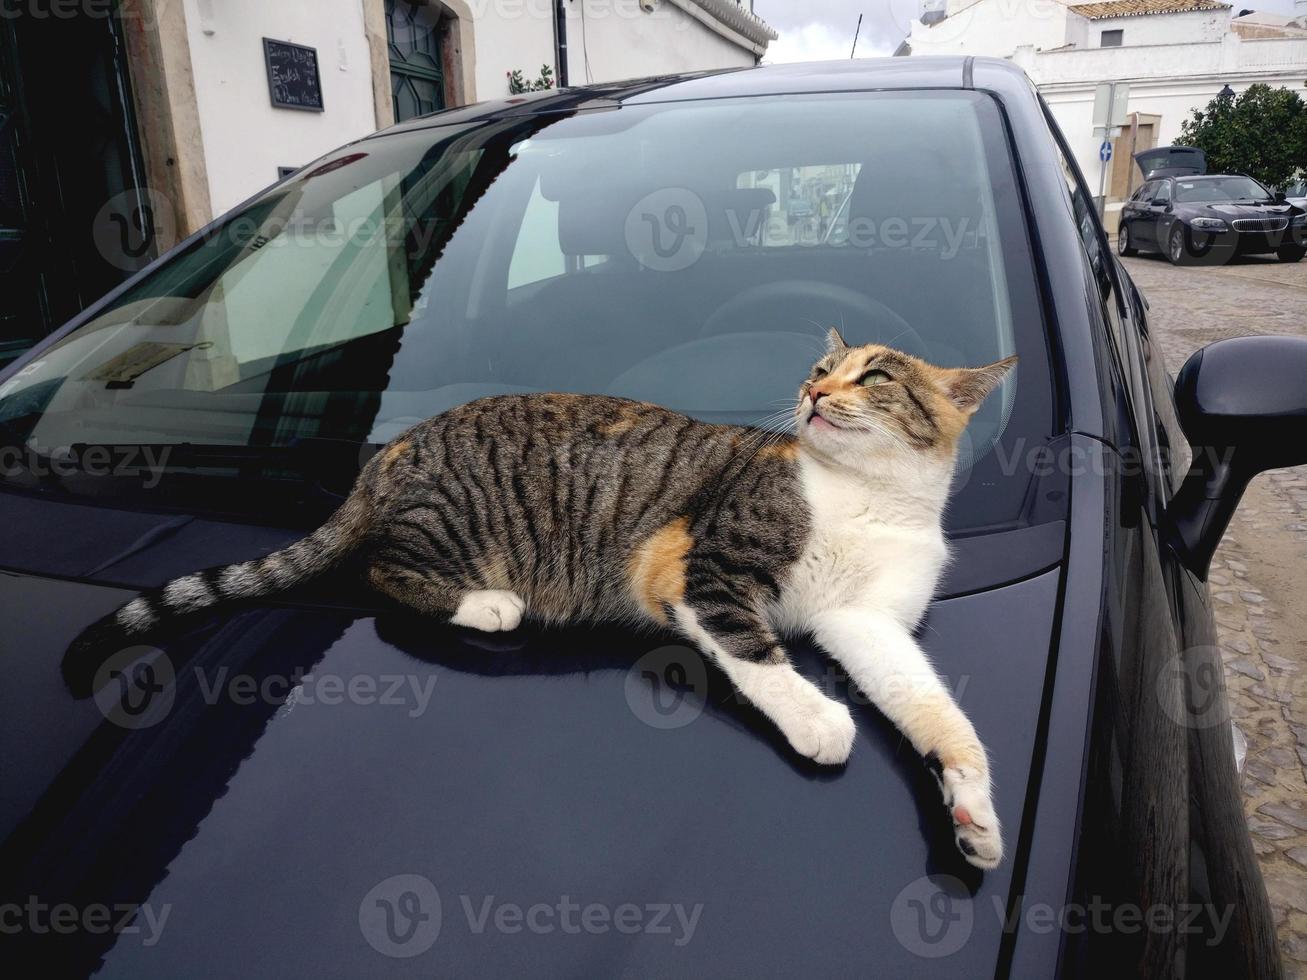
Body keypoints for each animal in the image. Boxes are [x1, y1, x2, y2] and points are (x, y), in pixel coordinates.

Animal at [66, 334, 1014, 872]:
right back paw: (485, 605)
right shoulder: (695, 568)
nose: (816, 394)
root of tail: (387, 455)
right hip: (448, 529)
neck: (871, 497)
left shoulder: (866, 623)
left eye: (874, 377)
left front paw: (970, 806)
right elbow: (758, 653)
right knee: (380, 573)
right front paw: (817, 717)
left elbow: (937, 710)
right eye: (819, 370)